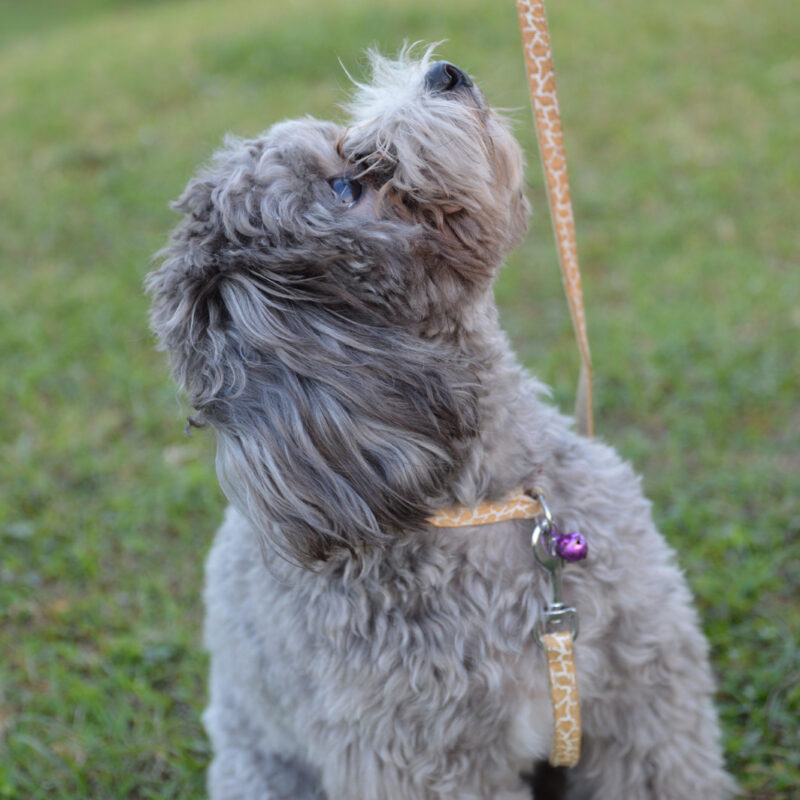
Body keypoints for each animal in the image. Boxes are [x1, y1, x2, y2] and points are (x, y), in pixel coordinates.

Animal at [147, 48, 736, 800]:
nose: (444, 74)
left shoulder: (646, 692)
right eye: (346, 186)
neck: (484, 506)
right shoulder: (423, 761)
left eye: (344, 143)